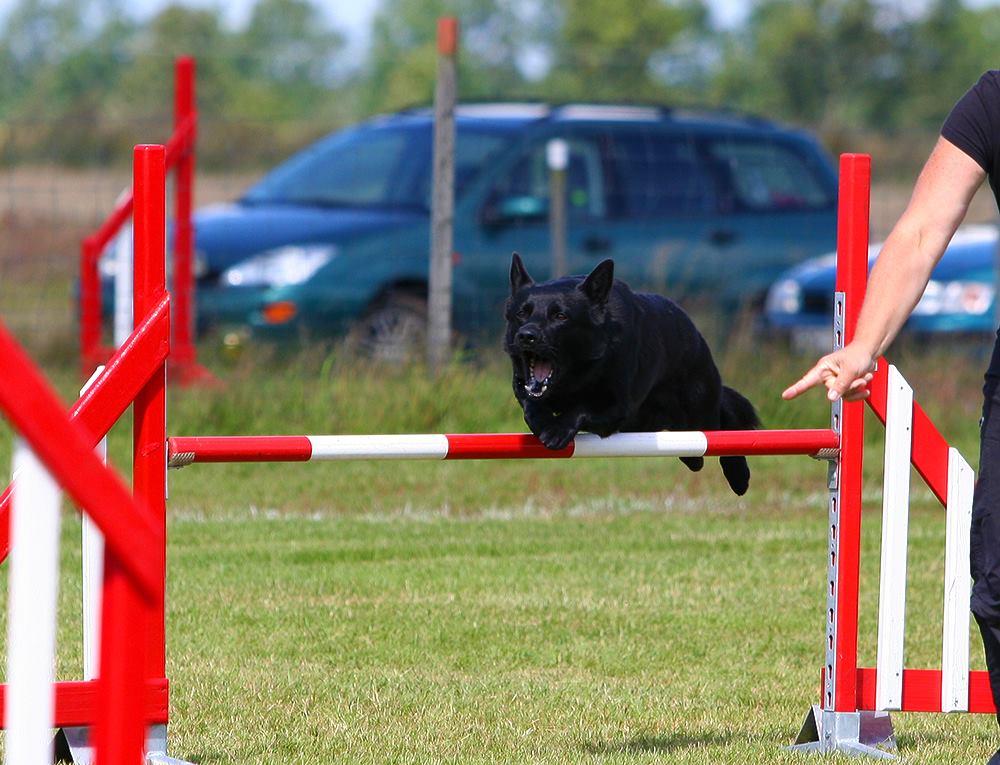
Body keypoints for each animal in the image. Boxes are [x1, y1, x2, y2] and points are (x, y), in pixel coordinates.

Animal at [504, 254, 760, 496]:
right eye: (522, 313)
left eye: (560, 316)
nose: (526, 336)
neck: (576, 377)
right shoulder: (523, 386)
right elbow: (531, 406)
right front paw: (544, 423)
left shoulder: (616, 407)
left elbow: (580, 409)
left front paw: (557, 430)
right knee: (695, 455)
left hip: (700, 416)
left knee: (726, 426)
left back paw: (739, 476)